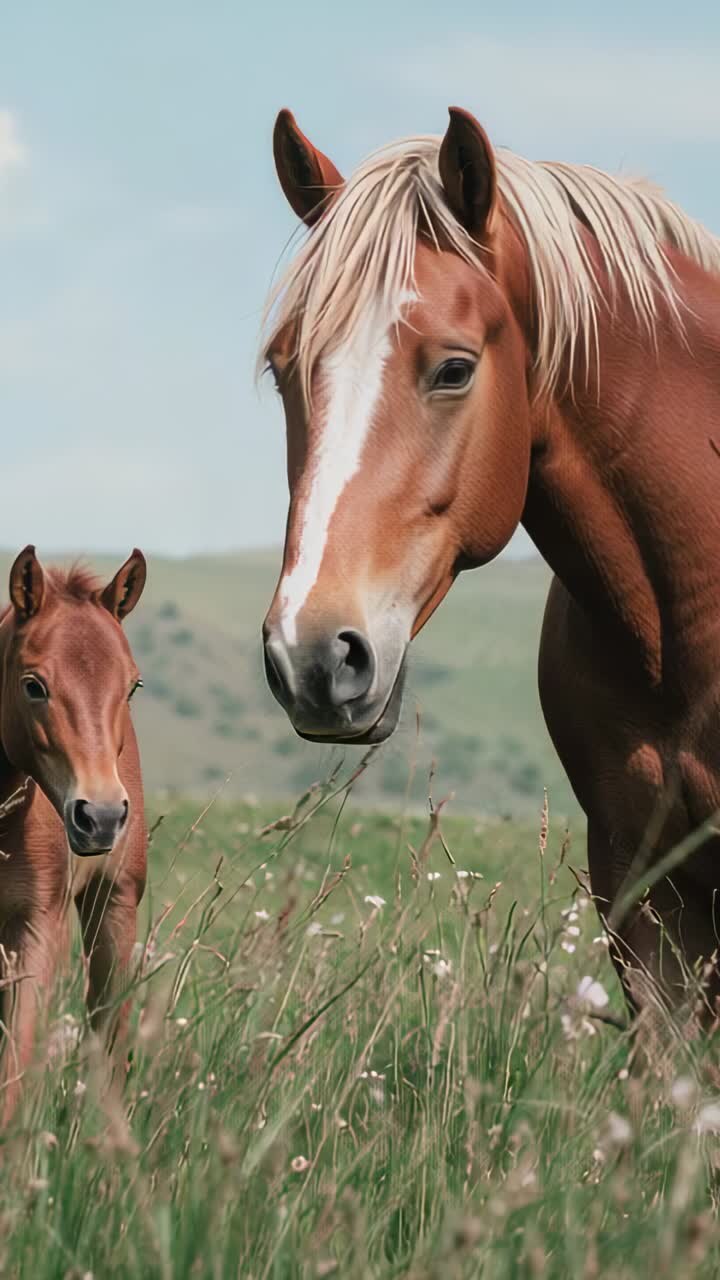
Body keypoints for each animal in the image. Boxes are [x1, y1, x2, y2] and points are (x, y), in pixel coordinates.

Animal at [0, 545, 147, 1118]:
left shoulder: (36, 924)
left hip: (114, 904)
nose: (100, 816)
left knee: (109, 1039)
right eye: (33, 685)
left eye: (132, 685)